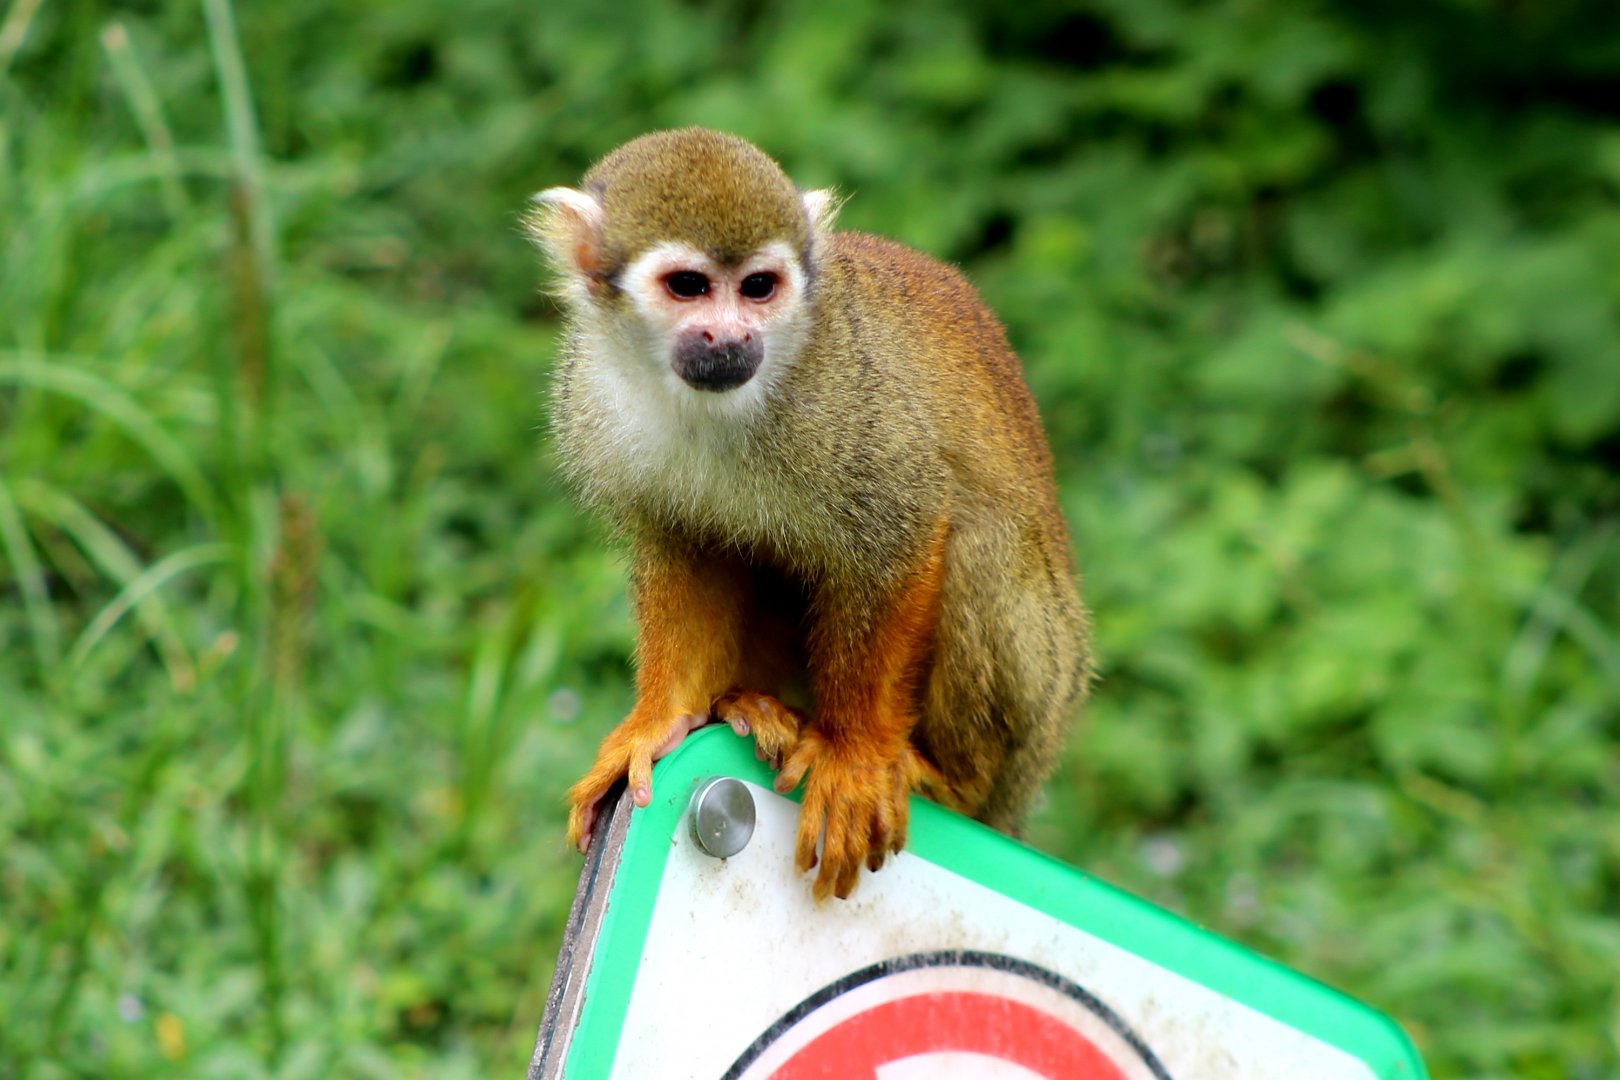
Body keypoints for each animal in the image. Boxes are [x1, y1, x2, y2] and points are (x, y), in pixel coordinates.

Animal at [527, 128, 1091, 901]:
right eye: (688, 286)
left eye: (759, 287)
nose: (730, 338)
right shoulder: (588, 391)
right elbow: (684, 546)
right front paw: (663, 721)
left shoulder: (847, 395)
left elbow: (902, 530)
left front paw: (853, 758)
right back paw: (751, 707)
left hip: (1044, 700)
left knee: (984, 543)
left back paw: (949, 783)